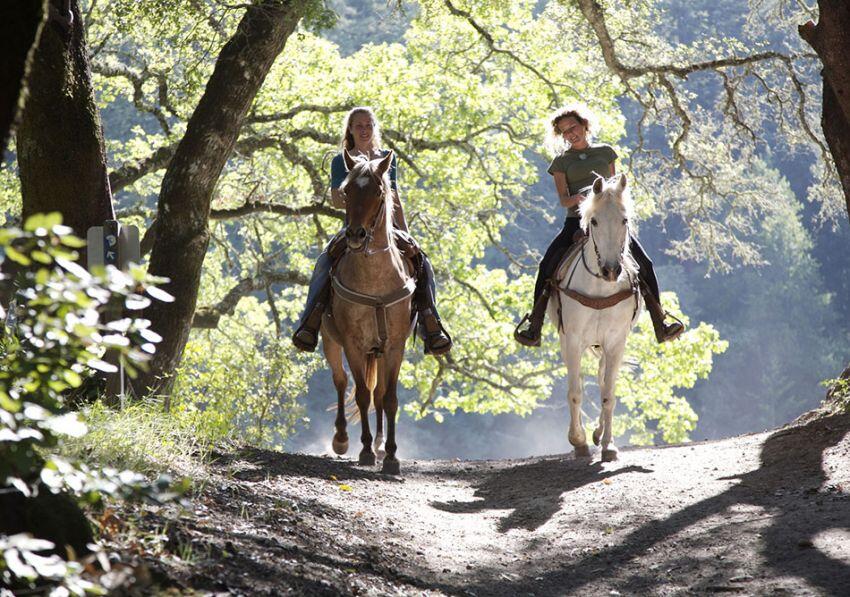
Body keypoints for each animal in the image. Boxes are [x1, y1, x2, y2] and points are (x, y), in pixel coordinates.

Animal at [322, 150, 414, 474]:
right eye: (347, 191)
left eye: (378, 192)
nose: (356, 235)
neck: (375, 281)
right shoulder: (353, 344)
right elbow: (361, 394)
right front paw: (364, 451)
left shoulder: (395, 346)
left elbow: (389, 398)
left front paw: (391, 456)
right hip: (330, 341)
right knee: (340, 381)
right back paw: (342, 439)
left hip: (380, 352)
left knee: (379, 394)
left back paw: (380, 443)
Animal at [548, 172, 640, 460]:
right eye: (595, 221)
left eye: (624, 219)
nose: (611, 270)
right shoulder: (573, 339)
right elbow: (575, 392)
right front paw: (578, 441)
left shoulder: (616, 342)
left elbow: (608, 393)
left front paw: (609, 445)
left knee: (601, 380)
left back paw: (599, 434)